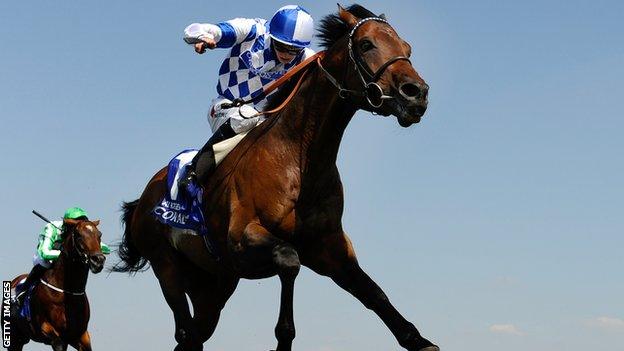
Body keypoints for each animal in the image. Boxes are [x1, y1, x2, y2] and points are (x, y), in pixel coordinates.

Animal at [7, 220, 106, 351]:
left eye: (99, 235)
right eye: (78, 235)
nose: (98, 260)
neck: (67, 292)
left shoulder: (80, 335)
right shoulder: (49, 330)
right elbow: (57, 341)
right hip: (14, 338)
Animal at [113, 4, 434, 351]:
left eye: (407, 49)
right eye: (365, 44)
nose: (416, 93)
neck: (300, 161)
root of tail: (144, 197)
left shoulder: (331, 248)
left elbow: (374, 293)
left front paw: (418, 339)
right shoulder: (242, 238)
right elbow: (289, 260)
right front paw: (283, 339)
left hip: (213, 284)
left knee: (193, 336)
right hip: (166, 266)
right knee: (185, 331)